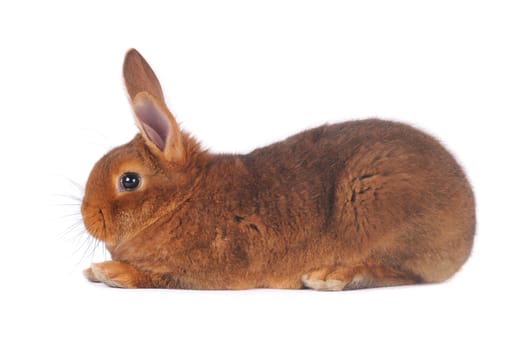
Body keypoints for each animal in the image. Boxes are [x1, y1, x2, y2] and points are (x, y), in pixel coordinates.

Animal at [80, 48, 476, 290]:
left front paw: (108, 271)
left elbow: (156, 278)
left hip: (375, 204)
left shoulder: (202, 269)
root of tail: (469, 224)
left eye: (129, 180)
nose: (87, 217)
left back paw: (332, 276)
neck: (181, 200)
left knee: (402, 273)